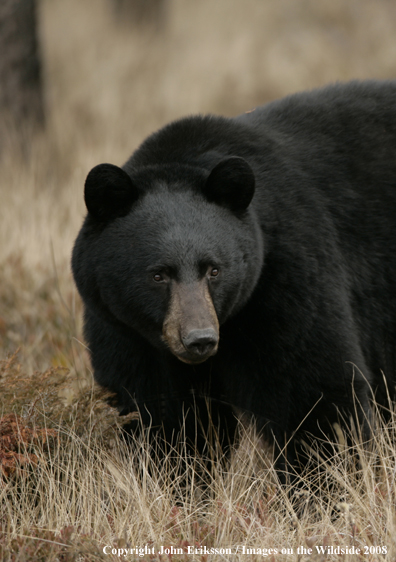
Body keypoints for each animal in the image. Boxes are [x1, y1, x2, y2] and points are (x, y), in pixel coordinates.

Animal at [72, 81, 396, 476]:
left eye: (214, 269)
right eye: (158, 274)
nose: (199, 339)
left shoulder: (285, 279)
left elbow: (311, 392)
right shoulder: (125, 330)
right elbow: (162, 416)